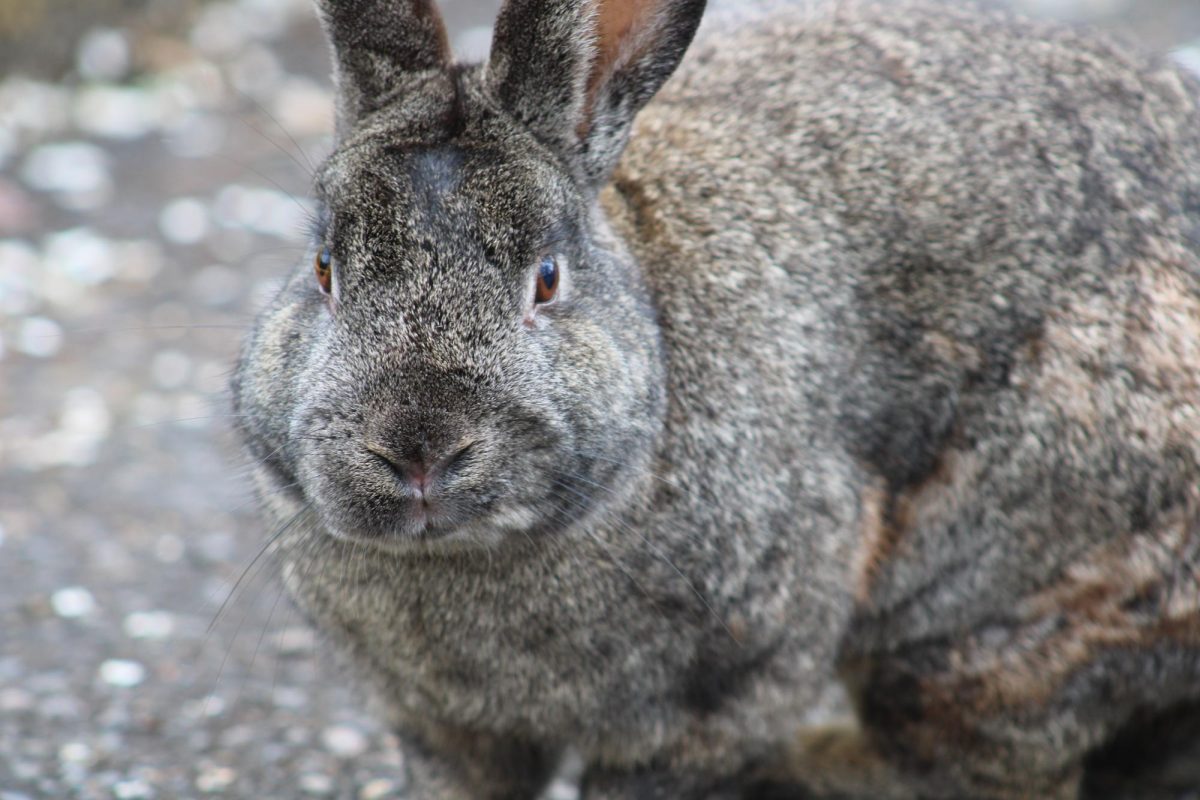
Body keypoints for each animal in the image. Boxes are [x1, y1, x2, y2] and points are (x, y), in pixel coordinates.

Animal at [231, 0, 1200, 796]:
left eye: (546, 280)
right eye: (324, 269)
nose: (418, 447)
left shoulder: (716, 702)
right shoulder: (446, 735)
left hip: (996, 622)